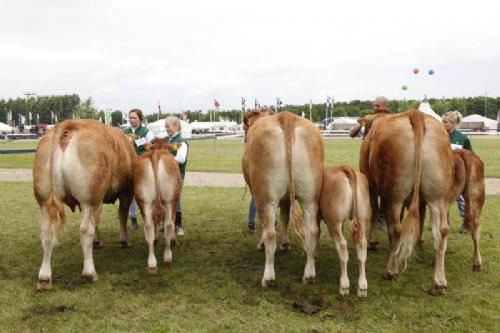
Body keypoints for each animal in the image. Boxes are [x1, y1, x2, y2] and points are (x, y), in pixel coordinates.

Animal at [33, 118, 136, 288]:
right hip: (90, 198)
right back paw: (90, 273)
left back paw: (44, 278)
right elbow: (122, 214)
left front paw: (97, 241)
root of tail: (68, 125)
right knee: (86, 229)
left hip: (45, 199)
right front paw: (124, 240)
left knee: (47, 232)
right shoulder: (127, 191)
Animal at [133, 141, 182, 274]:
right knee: (168, 224)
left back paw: (152, 264)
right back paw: (168, 257)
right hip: (169, 200)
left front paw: (155, 240)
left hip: (144, 201)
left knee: (149, 226)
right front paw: (174, 241)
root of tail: (155, 154)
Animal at [242, 111, 324, 286]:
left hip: (266, 197)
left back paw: (268, 278)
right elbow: (285, 217)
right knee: (313, 231)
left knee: (270, 232)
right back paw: (309, 274)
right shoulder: (287, 199)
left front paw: (262, 244)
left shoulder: (257, 194)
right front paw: (285, 244)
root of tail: (286, 117)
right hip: (311, 198)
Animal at [320, 165, 372, 296]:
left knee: (342, 246)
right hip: (363, 219)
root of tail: (344, 168)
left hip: (334, 222)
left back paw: (344, 285)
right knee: (362, 246)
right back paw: (362, 286)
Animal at [358, 109, 456, 294]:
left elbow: (374, 213)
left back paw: (391, 270)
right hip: (437, 196)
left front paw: (372, 242)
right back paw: (439, 281)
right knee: (442, 230)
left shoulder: (371, 186)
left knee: (396, 229)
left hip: (394, 194)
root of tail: (415, 114)